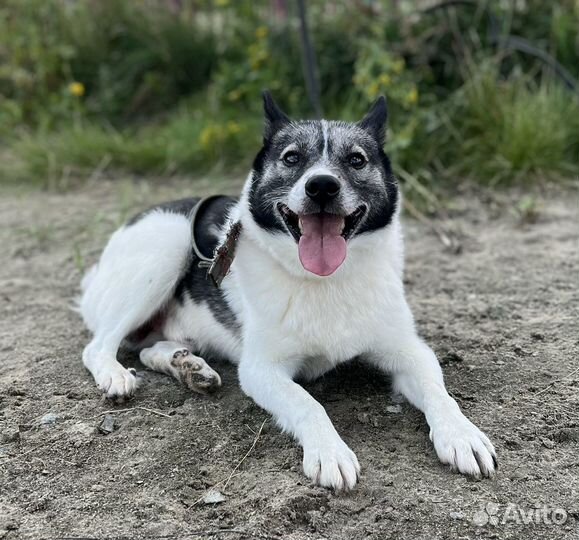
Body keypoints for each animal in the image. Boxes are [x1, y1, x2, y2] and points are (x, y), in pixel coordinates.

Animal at [78, 92, 498, 490]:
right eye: (292, 157)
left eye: (356, 160)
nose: (322, 186)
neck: (325, 280)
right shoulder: (261, 369)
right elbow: (307, 403)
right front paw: (329, 451)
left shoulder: (409, 351)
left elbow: (438, 392)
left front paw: (461, 434)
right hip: (166, 248)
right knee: (97, 347)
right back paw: (116, 374)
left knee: (148, 348)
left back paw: (188, 366)